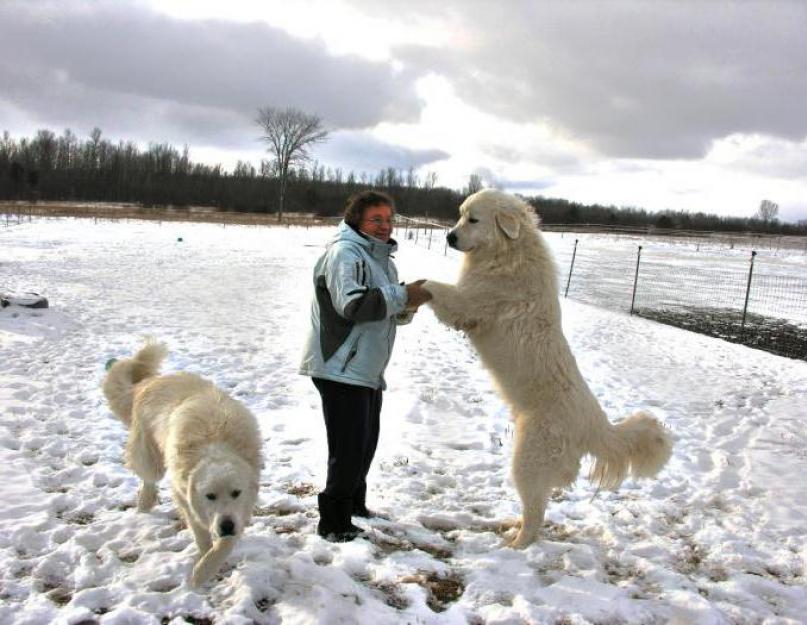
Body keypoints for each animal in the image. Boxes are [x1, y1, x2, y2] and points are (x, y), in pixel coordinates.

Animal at [102, 338, 262, 584]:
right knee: (148, 478)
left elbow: (225, 543)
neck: (216, 441)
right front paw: (201, 570)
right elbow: (201, 535)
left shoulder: (241, 507)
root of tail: (150, 381)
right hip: (151, 457)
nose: (226, 526)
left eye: (236, 493)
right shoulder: (185, 495)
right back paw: (145, 502)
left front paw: (206, 568)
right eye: (210, 496)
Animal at [422, 188, 676, 548]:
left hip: (527, 460)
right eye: (460, 216)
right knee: (536, 508)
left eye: (473, 219)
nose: (449, 237)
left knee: (536, 514)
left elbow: (434, 287)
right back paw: (512, 528)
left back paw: (516, 545)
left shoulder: (471, 302)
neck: (508, 252)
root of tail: (597, 426)